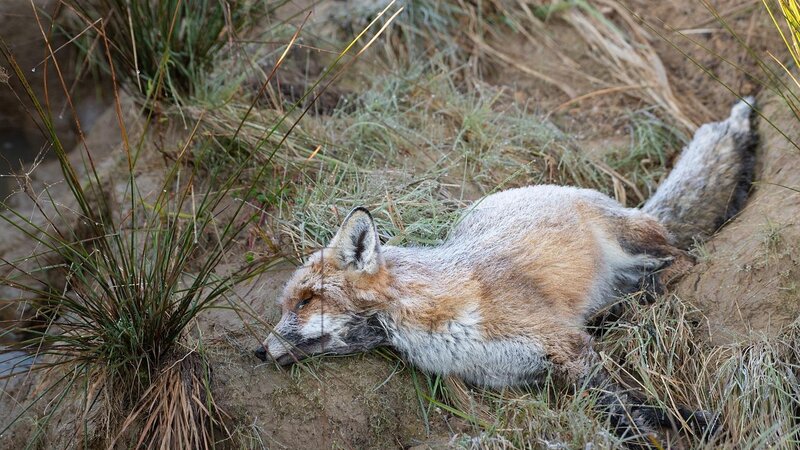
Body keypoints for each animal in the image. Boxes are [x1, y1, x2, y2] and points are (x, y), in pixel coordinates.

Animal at [255, 98, 758, 444]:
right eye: (286, 305)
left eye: (305, 301)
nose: (258, 352)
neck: (439, 324)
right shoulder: (535, 374)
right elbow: (632, 406)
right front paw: (681, 421)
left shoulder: (567, 346)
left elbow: (622, 411)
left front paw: (676, 427)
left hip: (632, 242)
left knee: (683, 258)